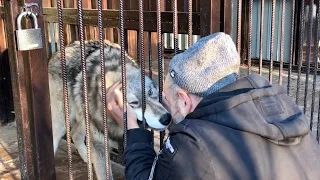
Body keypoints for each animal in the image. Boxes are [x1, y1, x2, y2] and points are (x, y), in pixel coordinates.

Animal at [47, 39, 171, 180]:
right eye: (133, 103)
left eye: (150, 92)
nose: (167, 118)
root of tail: (59, 51)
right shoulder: (100, 144)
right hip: (61, 123)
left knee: (75, 134)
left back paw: (87, 158)